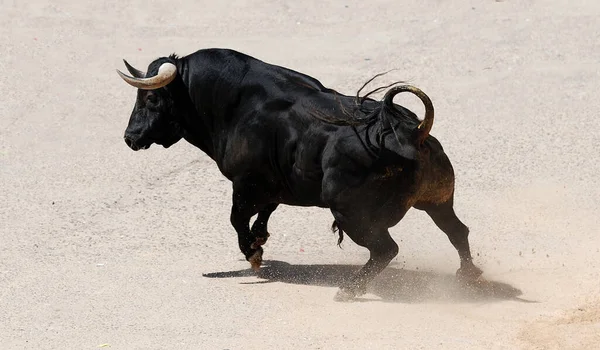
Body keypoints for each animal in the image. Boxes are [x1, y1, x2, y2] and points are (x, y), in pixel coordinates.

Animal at [117, 48, 482, 300]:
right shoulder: (272, 186)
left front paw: (253, 255)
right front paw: (260, 242)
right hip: (438, 200)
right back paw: (469, 276)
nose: (130, 138)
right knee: (457, 231)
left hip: (351, 214)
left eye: (150, 98)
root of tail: (414, 131)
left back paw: (350, 290)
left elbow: (237, 219)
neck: (232, 104)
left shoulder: (245, 183)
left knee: (386, 250)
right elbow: (263, 214)